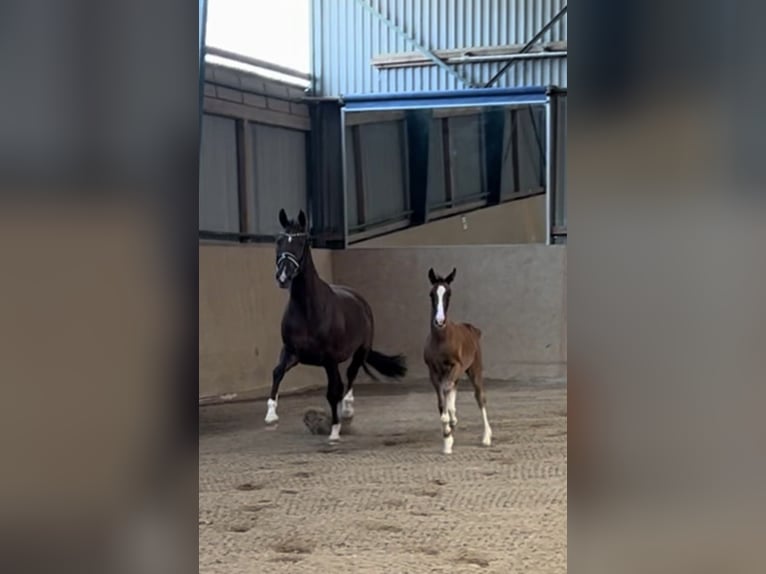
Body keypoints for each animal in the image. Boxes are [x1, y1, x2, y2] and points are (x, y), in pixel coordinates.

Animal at [266, 208, 408, 442]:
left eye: (302, 242)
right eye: (279, 241)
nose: (283, 276)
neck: (308, 309)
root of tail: (359, 299)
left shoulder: (329, 359)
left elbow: (333, 391)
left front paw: (334, 430)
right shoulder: (292, 352)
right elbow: (277, 372)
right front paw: (271, 415)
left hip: (360, 351)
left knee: (349, 376)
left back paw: (347, 411)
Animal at [423, 267, 492, 454]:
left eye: (449, 293)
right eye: (431, 294)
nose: (439, 321)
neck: (441, 339)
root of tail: (472, 329)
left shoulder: (456, 366)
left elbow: (447, 391)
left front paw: (448, 434)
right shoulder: (433, 372)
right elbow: (442, 401)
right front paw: (447, 437)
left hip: (474, 369)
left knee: (480, 397)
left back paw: (486, 437)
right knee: (452, 388)